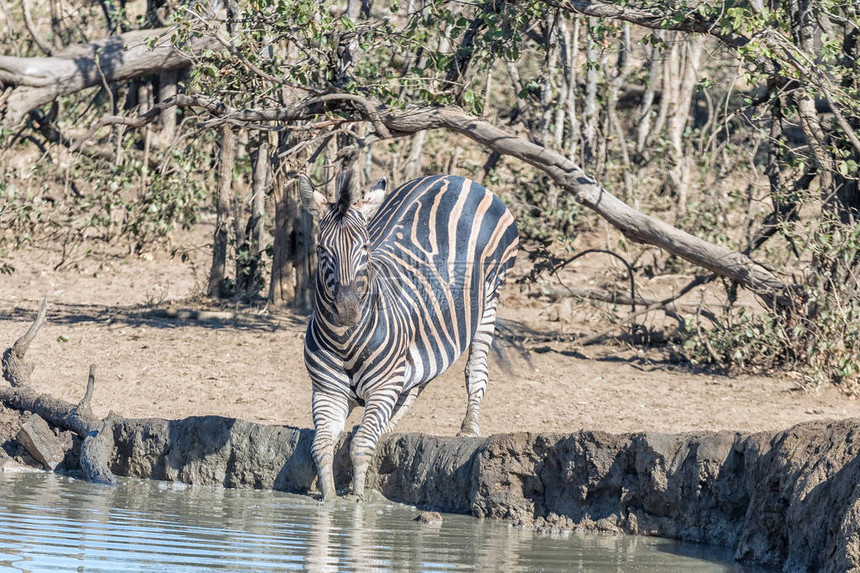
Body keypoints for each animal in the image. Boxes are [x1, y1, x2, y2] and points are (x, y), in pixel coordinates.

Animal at [302, 171, 516, 500]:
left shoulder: (382, 387)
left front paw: (356, 501)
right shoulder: (327, 392)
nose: (348, 310)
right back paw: (388, 426)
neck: (344, 340)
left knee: (476, 369)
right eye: (322, 249)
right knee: (418, 380)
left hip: (491, 294)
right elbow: (321, 447)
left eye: (365, 248)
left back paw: (468, 429)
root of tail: (458, 178)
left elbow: (361, 446)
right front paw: (329, 501)